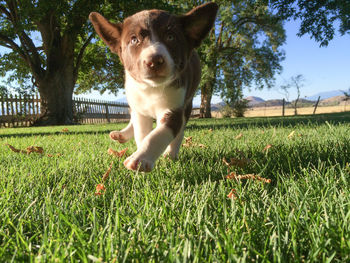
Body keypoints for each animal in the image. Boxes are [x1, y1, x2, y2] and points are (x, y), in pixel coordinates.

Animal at [89, 3, 217, 173]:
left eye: (170, 37)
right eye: (134, 39)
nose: (154, 61)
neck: (151, 89)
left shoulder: (175, 108)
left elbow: (159, 134)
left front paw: (140, 159)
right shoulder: (139, 108)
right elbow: (141, 133)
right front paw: (140, 151)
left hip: (187, 104)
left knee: (179, 132)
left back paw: (171, 154)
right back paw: (122, 134)